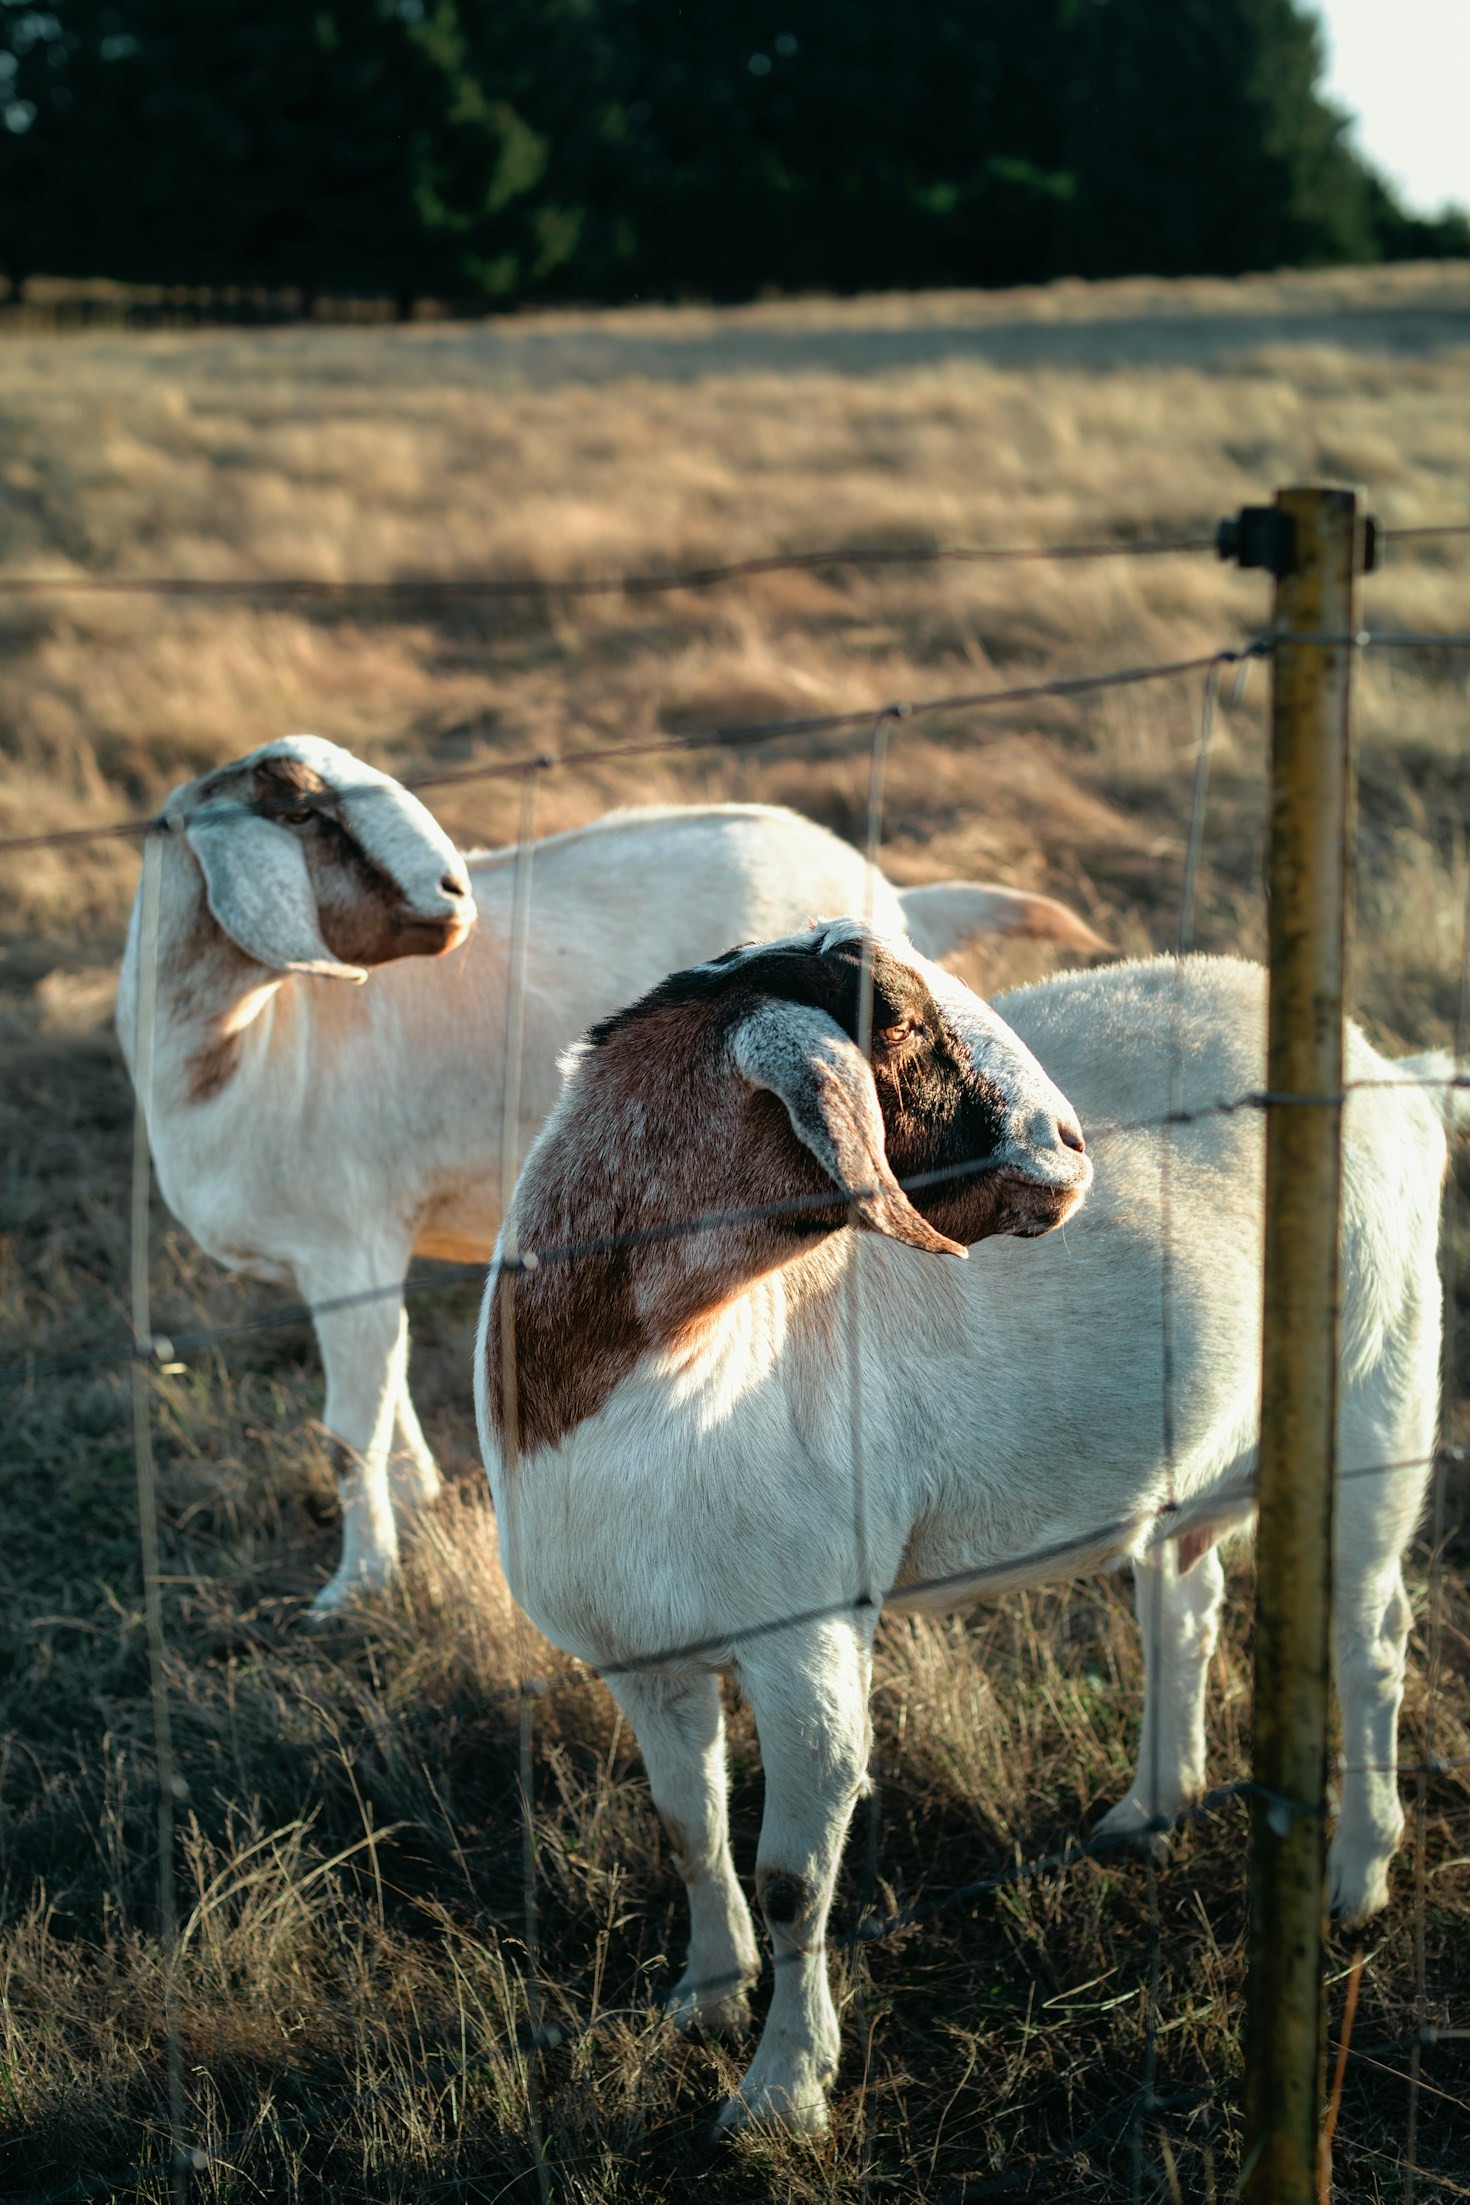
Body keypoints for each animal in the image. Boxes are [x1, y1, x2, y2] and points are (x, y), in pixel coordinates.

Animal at [117, 736, 1102, 1618]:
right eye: (300, 811)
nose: (454, 895)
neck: (250, 1044)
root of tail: (886, 884)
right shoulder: (354, 1261)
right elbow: (389, 1393)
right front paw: (415, 1504)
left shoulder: (346, 1246)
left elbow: (349, 1429)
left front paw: (355, 1585)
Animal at [475, 929, 1447, 2134]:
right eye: (889, 1017)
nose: (1071, 1145)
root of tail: (1391, 1072)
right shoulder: (639, 1652)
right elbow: (686, 1829)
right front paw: (703, 1998)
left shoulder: (808, 1637)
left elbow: (793, 1879)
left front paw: (783, 2092)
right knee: (1186, 1608)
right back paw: (1150, 1809)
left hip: (1378, 1392)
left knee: (1371, 1640)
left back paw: (1357, 1875)